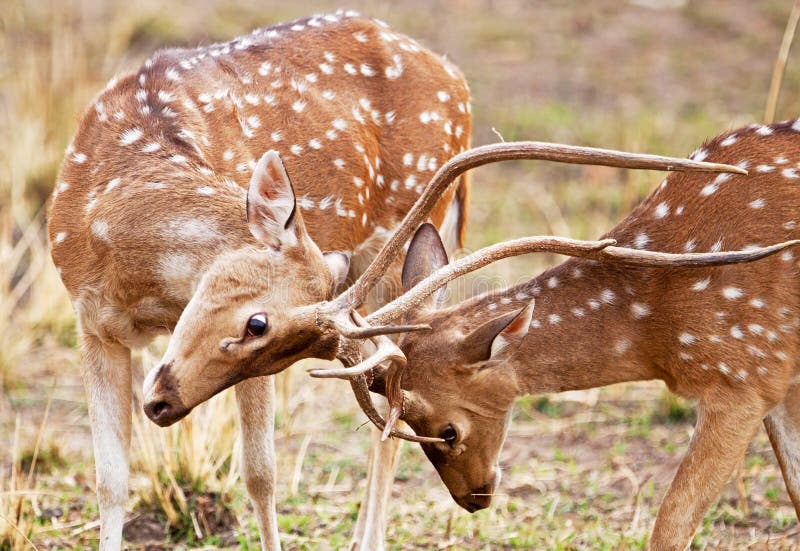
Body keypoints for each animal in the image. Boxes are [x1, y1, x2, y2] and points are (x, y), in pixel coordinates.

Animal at [47, 12, 476, 551]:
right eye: (258, 324)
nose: (163, 402)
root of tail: (457, 79)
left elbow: (260, 474)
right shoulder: (91, 323)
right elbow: (110, 479)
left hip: (405, 242)